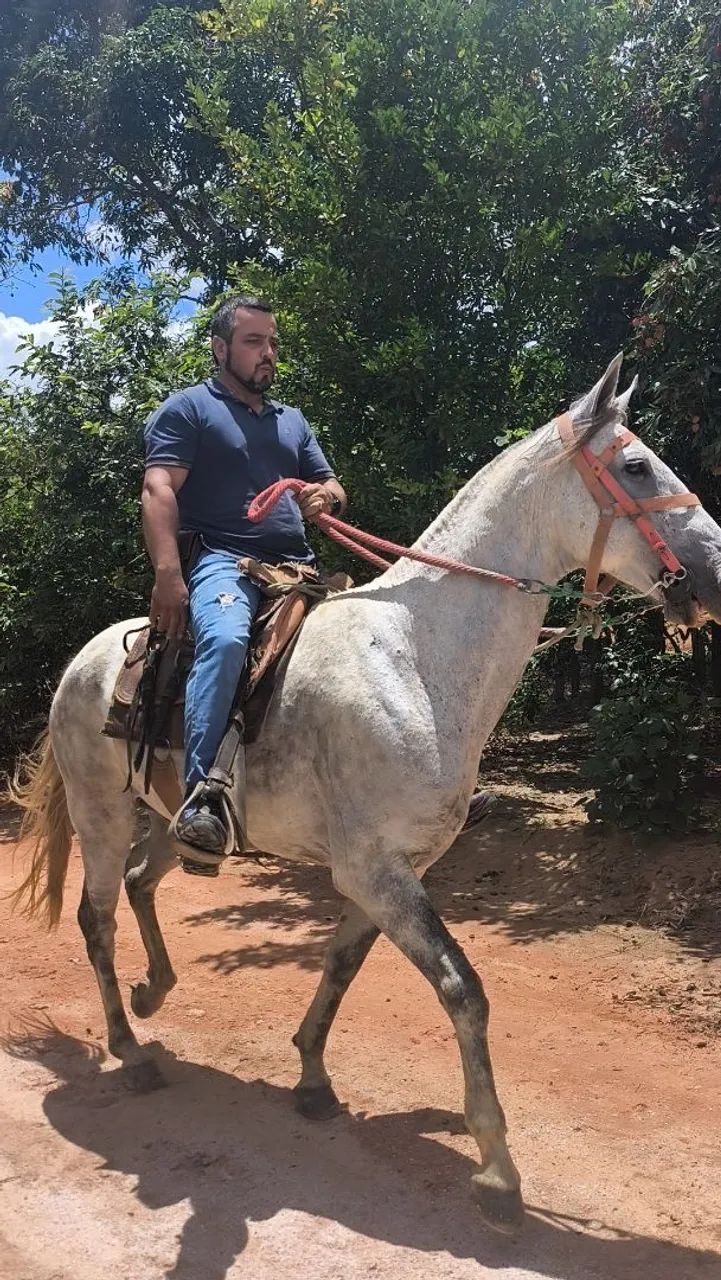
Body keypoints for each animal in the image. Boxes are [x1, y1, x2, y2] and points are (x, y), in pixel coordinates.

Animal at [11, 354, 721, 1235]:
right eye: (635, 467)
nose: (714, 574)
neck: (413, 658)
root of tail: (86, 657)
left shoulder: (387, 870)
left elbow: (342, 965)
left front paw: (312, 1078)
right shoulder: (375, 870)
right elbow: (462, 990)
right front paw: (496, 1171)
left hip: (166, 821)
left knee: (143, 886)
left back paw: (155, 992)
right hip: (103, 815)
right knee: (97, 917)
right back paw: (131, 1049)